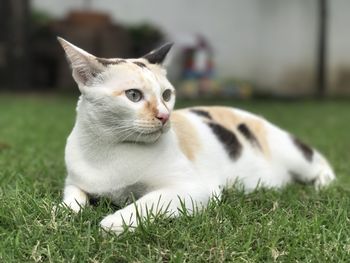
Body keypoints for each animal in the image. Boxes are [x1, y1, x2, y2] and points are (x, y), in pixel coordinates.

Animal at [58, 37, 336, 235]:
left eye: (167, 95)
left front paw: (115, 222)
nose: (165, 116)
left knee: (322, 167)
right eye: (133, 95)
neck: (110, 148)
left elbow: (149, 201)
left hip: (295, 155)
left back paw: (322, 186)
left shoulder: (194, 188)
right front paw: (62, 211)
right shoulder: (75, 181)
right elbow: (73, 196)